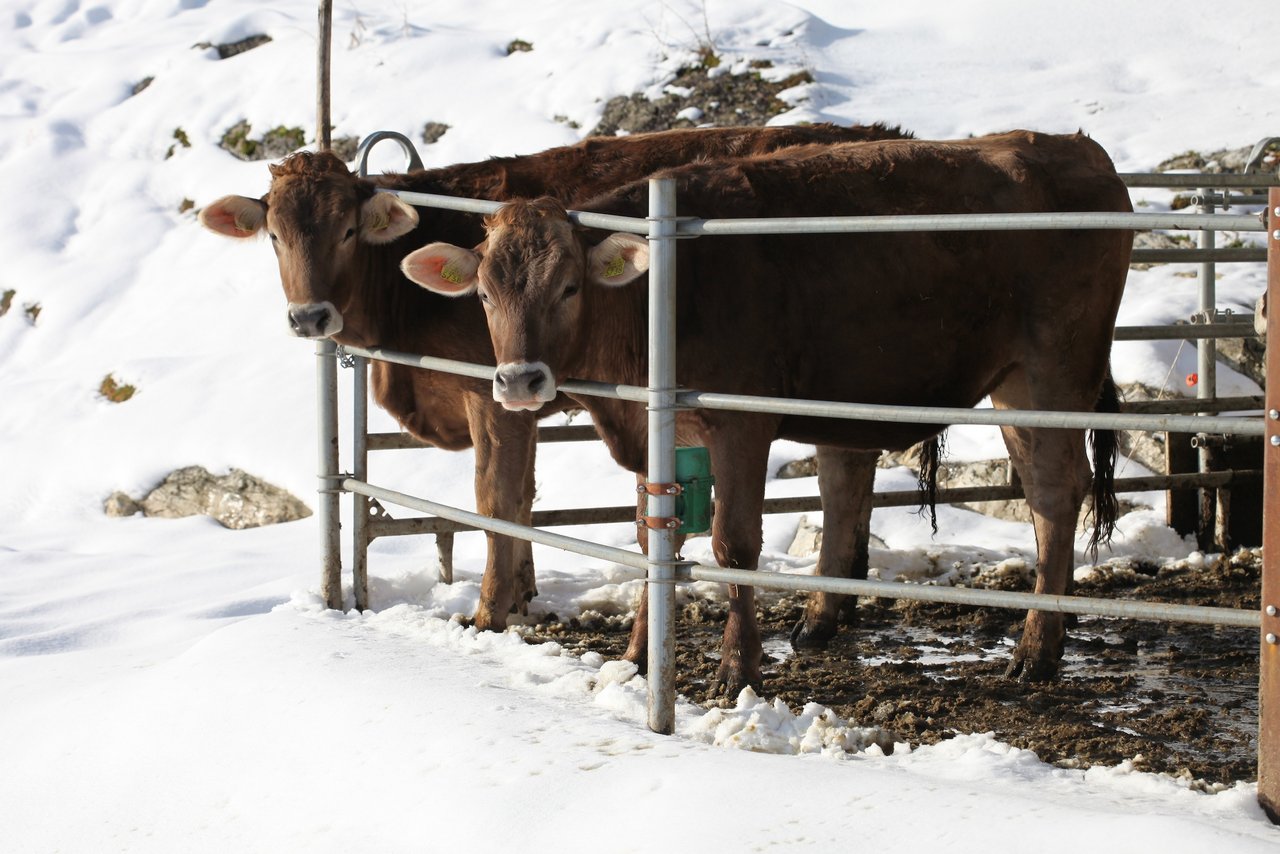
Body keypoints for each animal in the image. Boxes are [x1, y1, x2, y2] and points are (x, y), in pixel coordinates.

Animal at [199, 120, 906, 627]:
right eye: (273, 236)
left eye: (347, 230)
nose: (310, 316)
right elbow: (526, 496)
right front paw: (522, 591)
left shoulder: (493, 393)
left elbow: (498, 496)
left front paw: (491, 609)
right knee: (850, 464)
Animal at [399, 130, 1131, 696]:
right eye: (484, 292)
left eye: (570, 286)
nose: (519, 380)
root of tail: (1074, 147)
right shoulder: (655, 431)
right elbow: (650, 539)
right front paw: (637, 659)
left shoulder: (740, 424)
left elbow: (734, 543)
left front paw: (736, 671)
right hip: (1012, 385)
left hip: (1053, 372)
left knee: (1055, 495)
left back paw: (1036, 651)